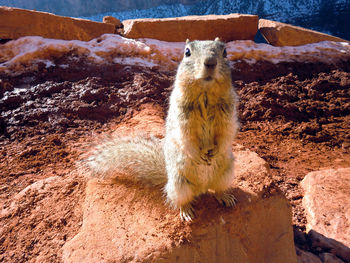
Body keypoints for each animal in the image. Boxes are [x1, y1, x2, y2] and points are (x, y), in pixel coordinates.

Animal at [83, 38, 239, 222]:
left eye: (225, 52)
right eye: (187, 52)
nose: (210, 62)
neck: (206, 94)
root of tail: (201, 188)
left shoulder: (228, 118)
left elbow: (226, 135)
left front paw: (216, 151)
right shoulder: (181, 120)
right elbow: (185, 138)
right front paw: (198, 155)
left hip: (226, 175)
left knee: (217, 190)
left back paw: (225, 197)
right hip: (180, 184)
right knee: (181, 200)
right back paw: (186, 211)